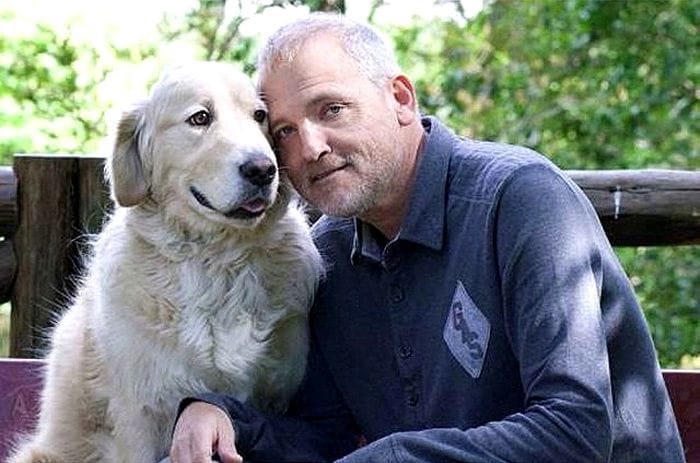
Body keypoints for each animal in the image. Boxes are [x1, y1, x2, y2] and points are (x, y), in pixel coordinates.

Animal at [8, 61, 326, 463]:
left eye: (260, 116)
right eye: (200, 118)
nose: (262, 169)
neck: (216, 262)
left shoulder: (278, 397)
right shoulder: (140, 414)